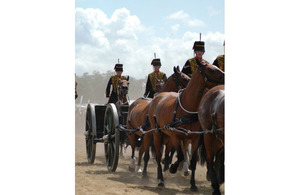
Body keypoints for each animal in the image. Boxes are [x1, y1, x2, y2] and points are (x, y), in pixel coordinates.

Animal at [149, 61, 224, 191]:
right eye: (211, 70)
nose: (224, 76)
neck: (187, 107)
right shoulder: (175, 136)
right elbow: (179, 155)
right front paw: (173, 168)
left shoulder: (195, 138)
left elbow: (192, 160)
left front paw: (193, 184)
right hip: (157, 134)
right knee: (158, 156)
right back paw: (160, 179)